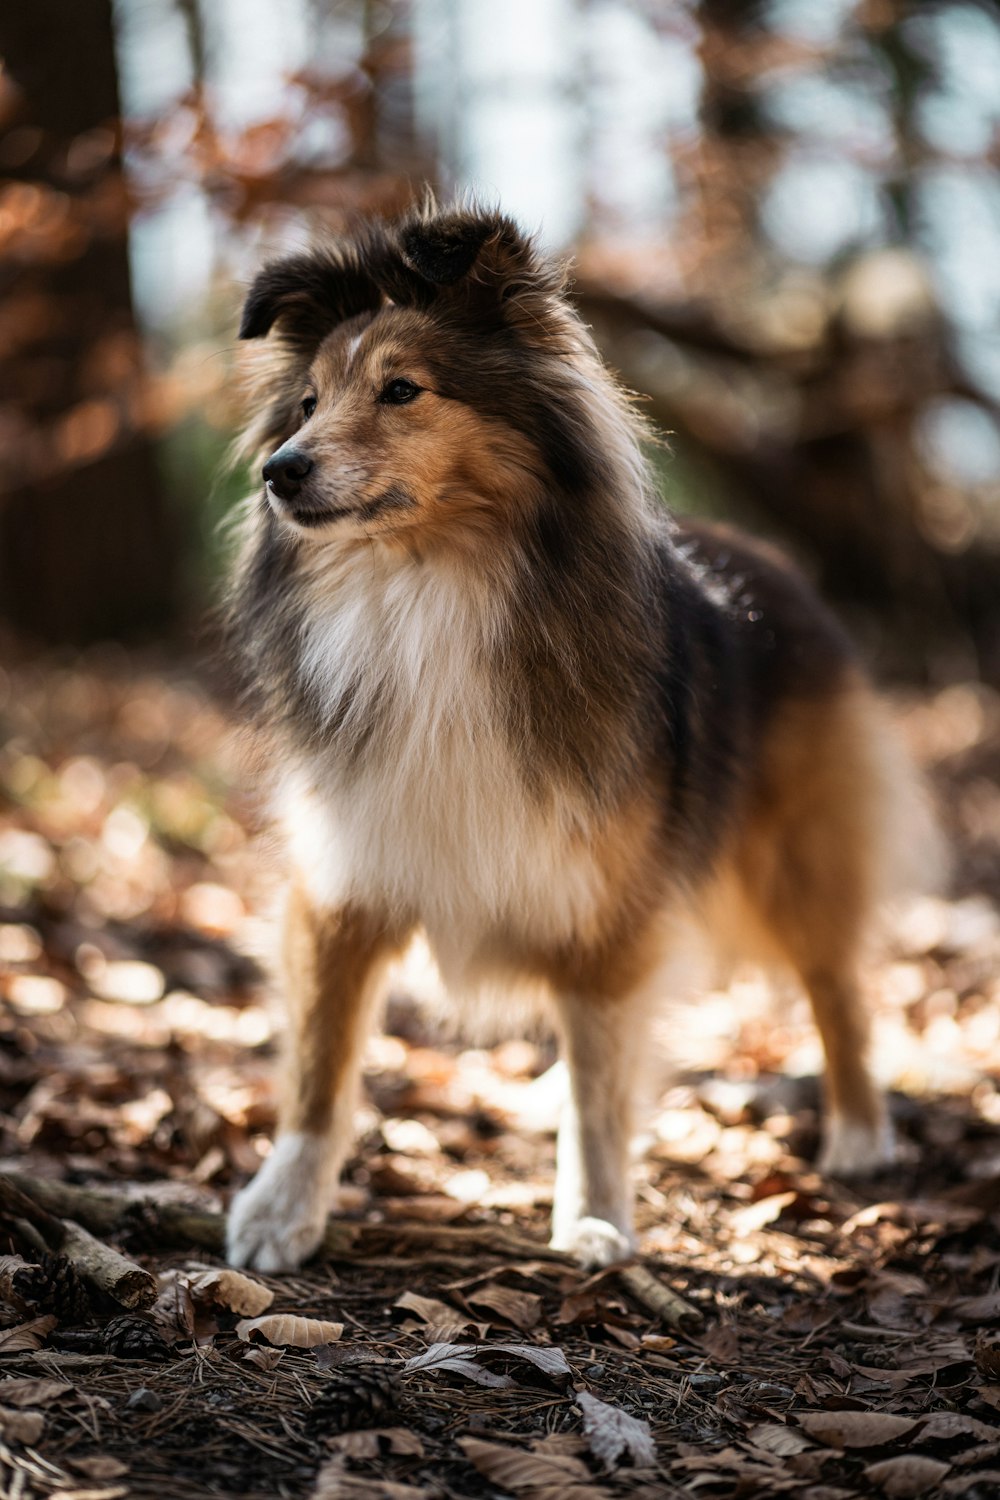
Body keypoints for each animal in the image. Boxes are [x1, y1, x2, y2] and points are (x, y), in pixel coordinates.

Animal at [223, 202, 941, 1278]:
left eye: (402, 390)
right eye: (306, 402)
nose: (281, 471)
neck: (428, 589)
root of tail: (775, 561)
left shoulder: (609, 904)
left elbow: (603, 1088)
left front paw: (597, 1219)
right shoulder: (346, 879)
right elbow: (319, 1064)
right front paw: (281, 1209)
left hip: (796, 858)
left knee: (837, 988)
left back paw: (859, 1133)